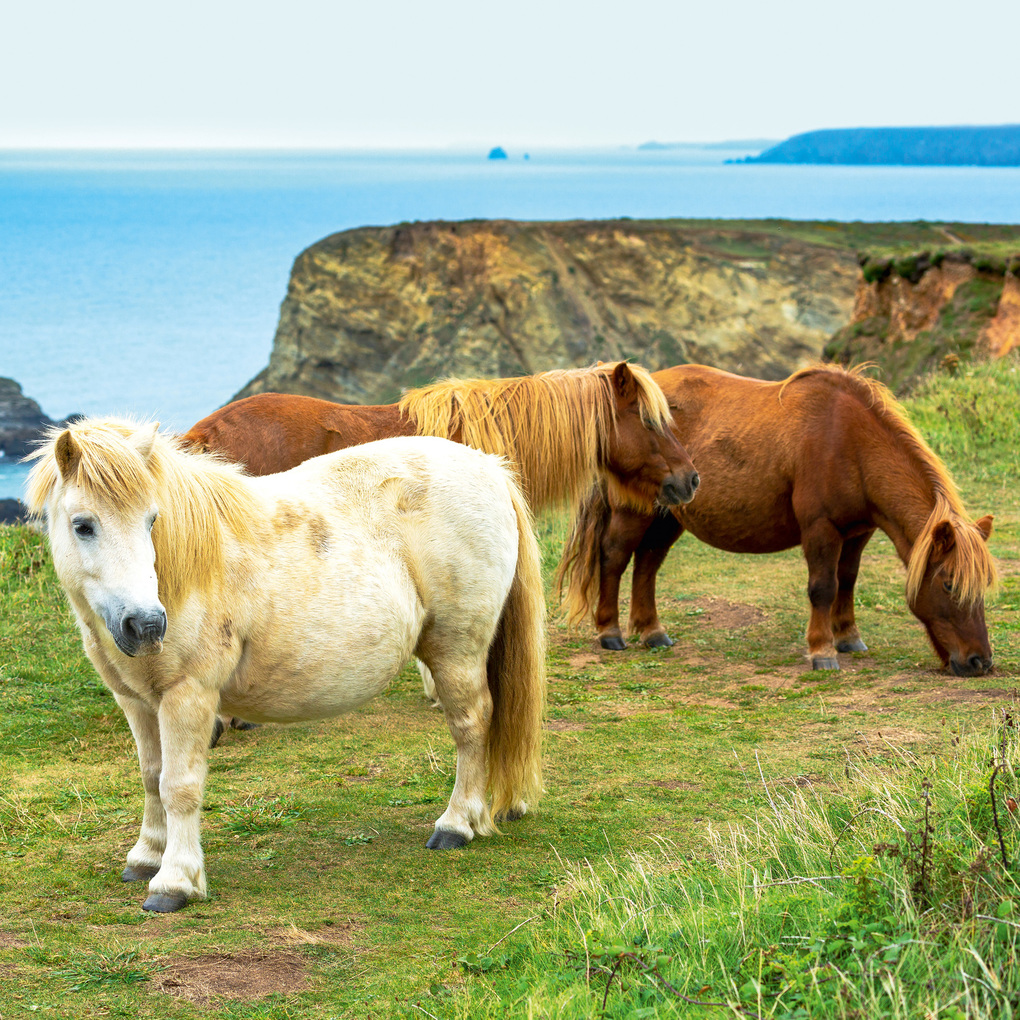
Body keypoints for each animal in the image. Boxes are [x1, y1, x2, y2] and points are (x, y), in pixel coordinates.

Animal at [27, 419, 547, 912]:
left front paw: (174, 882)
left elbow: (180, 787)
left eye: (152, 519)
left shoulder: (188, 696)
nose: (147, 625)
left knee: (472, 724)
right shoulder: (136, 701)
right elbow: (151, 776)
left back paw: (457, 824)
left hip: (457, 650)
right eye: (83, 525)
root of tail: (490, 469)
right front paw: (146, 857)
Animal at [558, 364, 997, 676]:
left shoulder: (858, 533)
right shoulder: (821, 529)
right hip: (636, 512)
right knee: (615, 558)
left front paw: (848, 637)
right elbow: (823, 587)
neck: (849, 441)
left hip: (670, 514)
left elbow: (847, 582)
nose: (980, 662)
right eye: (949, 583)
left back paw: (652, 632)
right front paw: (822, 651)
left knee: (647, 563)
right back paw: (610, 632)